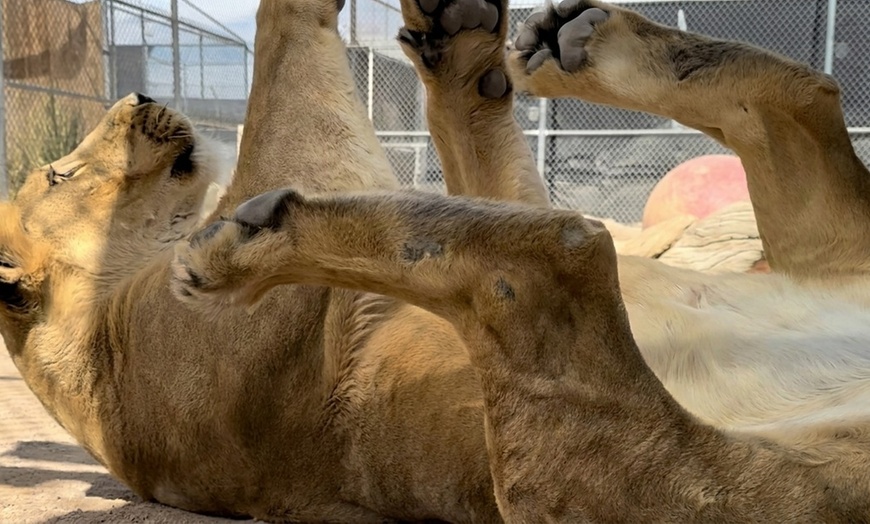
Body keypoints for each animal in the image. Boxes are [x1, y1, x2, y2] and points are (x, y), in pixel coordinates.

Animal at [4, 0, 870, 520]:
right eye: (59, 175)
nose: (139, 100)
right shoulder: (313, 160)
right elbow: (288, 55)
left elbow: (477, 144)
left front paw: (461, 47)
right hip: (586, 472)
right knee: (563, 258)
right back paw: (249, 247)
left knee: (801, 94)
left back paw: (565, 40)